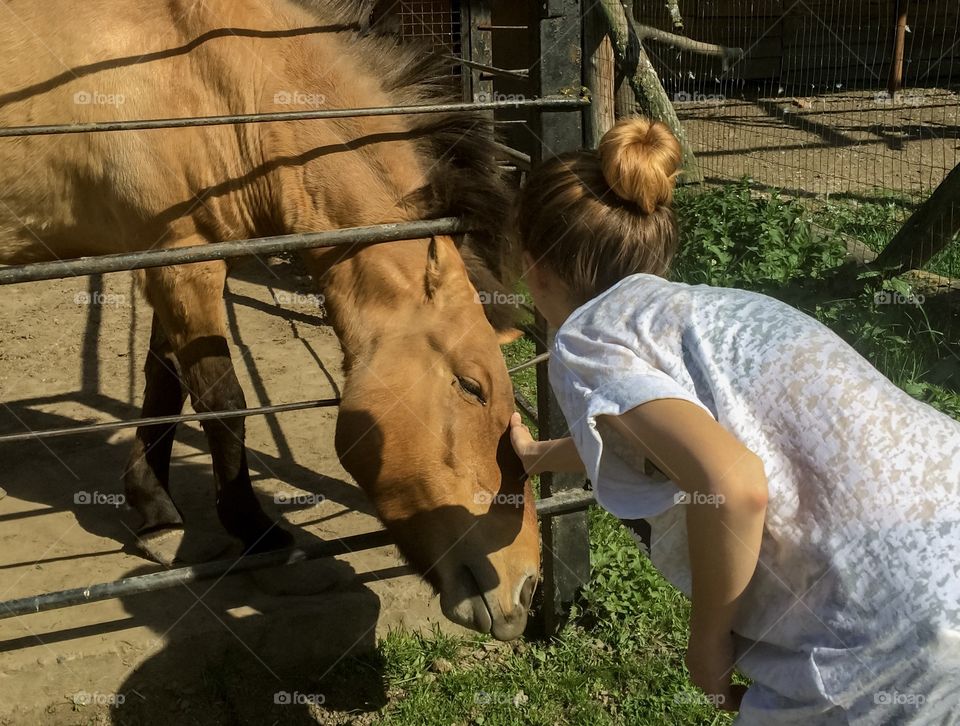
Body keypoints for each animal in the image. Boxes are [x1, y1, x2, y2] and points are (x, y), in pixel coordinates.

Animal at [0, 0, 539, 641]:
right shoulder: (185, 266)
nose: (527, 586)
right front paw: (259, 534)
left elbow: (164, 384)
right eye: (471, 386)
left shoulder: (170, 264)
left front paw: (155, 513)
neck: (211, 75)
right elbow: (223, 401)